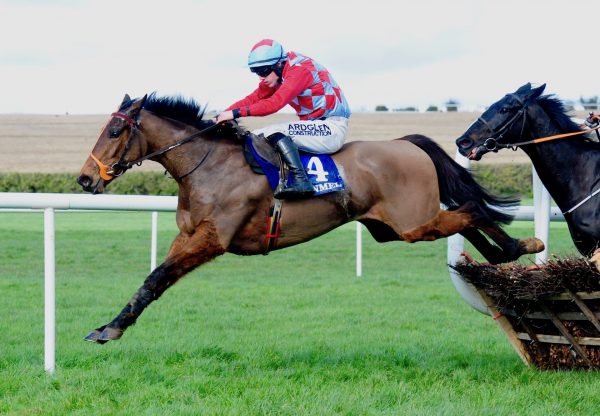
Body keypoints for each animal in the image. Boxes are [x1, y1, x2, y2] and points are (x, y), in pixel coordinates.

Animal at [76, 94, 544, 344]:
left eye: (114, 132)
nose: (84, 179)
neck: (208, 165)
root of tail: (406, 142)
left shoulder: (212, 239)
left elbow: (156, 277)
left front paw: (109, 330)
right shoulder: (188, 236)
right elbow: (152, 281)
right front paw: (110, 325)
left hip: (413, 223)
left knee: (471, 210)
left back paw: (524, 245)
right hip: (392, 228)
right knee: (465, 218)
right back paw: (506, 253)